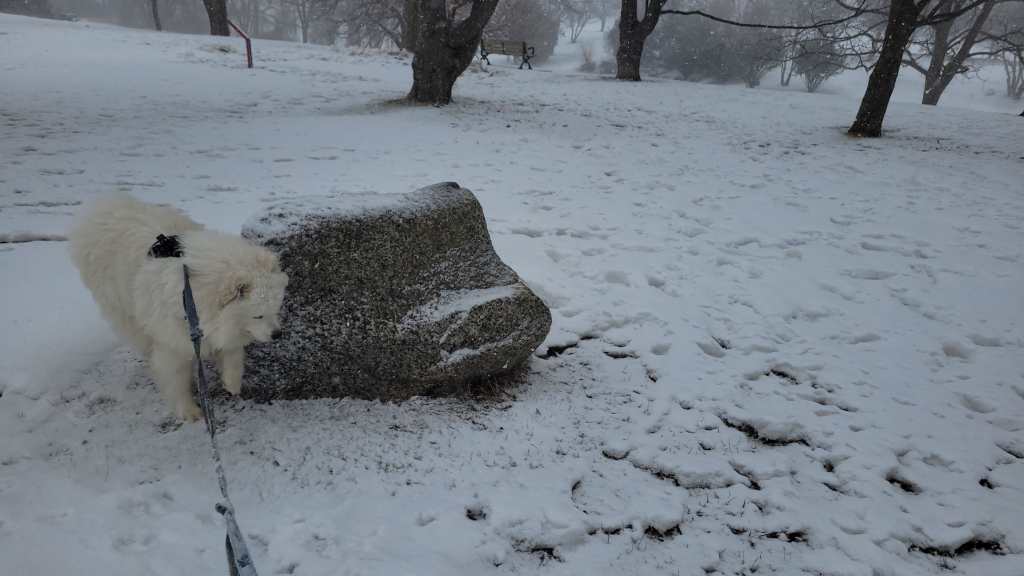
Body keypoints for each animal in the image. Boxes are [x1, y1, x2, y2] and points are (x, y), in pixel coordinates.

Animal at [69, 196, 288, 421]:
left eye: (276, 309)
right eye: (258, 315)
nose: (277, 334)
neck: (189, 291)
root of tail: (104, 207)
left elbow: (232, 356)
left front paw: (232, 382)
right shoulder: (172, 341)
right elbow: (176, 380)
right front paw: (189, 411)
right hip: (122, 308)